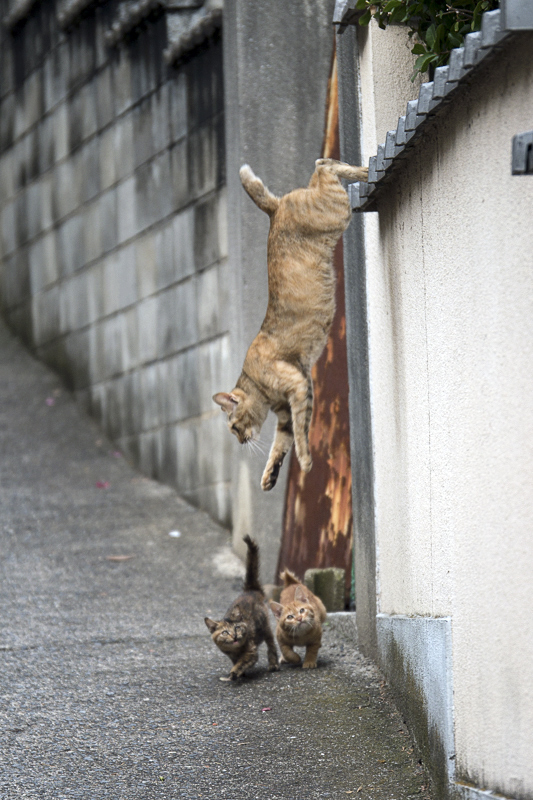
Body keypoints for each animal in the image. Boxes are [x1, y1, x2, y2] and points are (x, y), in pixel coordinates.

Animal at [204, 536, 278, 680]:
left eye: (237, 628)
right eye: (225, 632)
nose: (234, 636)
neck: (236, 650)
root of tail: (250, 590)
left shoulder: (251, 651)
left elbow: (242, 661)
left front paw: (235, 672)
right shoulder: (231, 655)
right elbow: (236, 661)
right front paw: (241, 673)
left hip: (265, 626)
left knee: (271, 643)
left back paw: (273, 664)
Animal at [212, 159, 366, 490]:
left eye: (233, 427)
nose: (240, 441)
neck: (261, 389)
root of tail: (275, 209)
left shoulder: (299, 386)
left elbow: (300, 432)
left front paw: (306, 462)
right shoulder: (286, 409)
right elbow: (281, 443)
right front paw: (270, 476)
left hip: (338, 212)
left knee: (326, 166)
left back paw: (360, 173)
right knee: (323, 167)